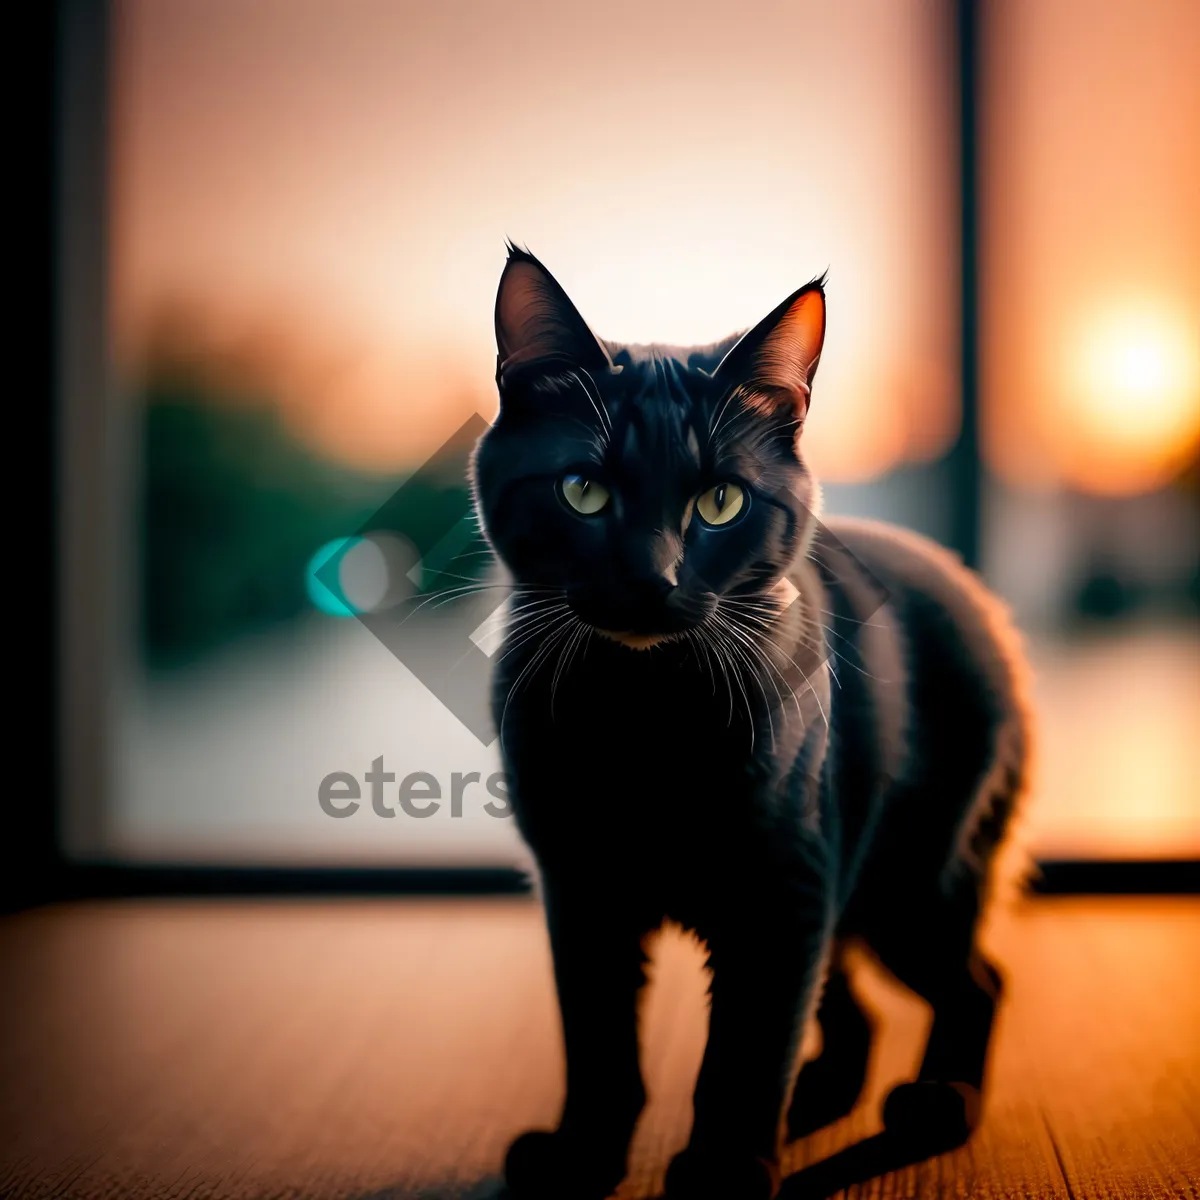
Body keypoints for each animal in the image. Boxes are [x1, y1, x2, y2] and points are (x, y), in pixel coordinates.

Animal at [468, 246, 1032, 1200]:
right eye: (584, 491)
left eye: (721, 503)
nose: (651, 579)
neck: (643, 710)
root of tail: (980, 594)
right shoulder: (579, 886)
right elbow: (597, 1036)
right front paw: (584, 1156)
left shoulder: (780, 884)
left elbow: (746, 1046)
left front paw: (724, 1169)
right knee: (857, 1005)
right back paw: (822, 1094)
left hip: (910, 875)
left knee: (977, 979)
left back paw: (937, 1103)